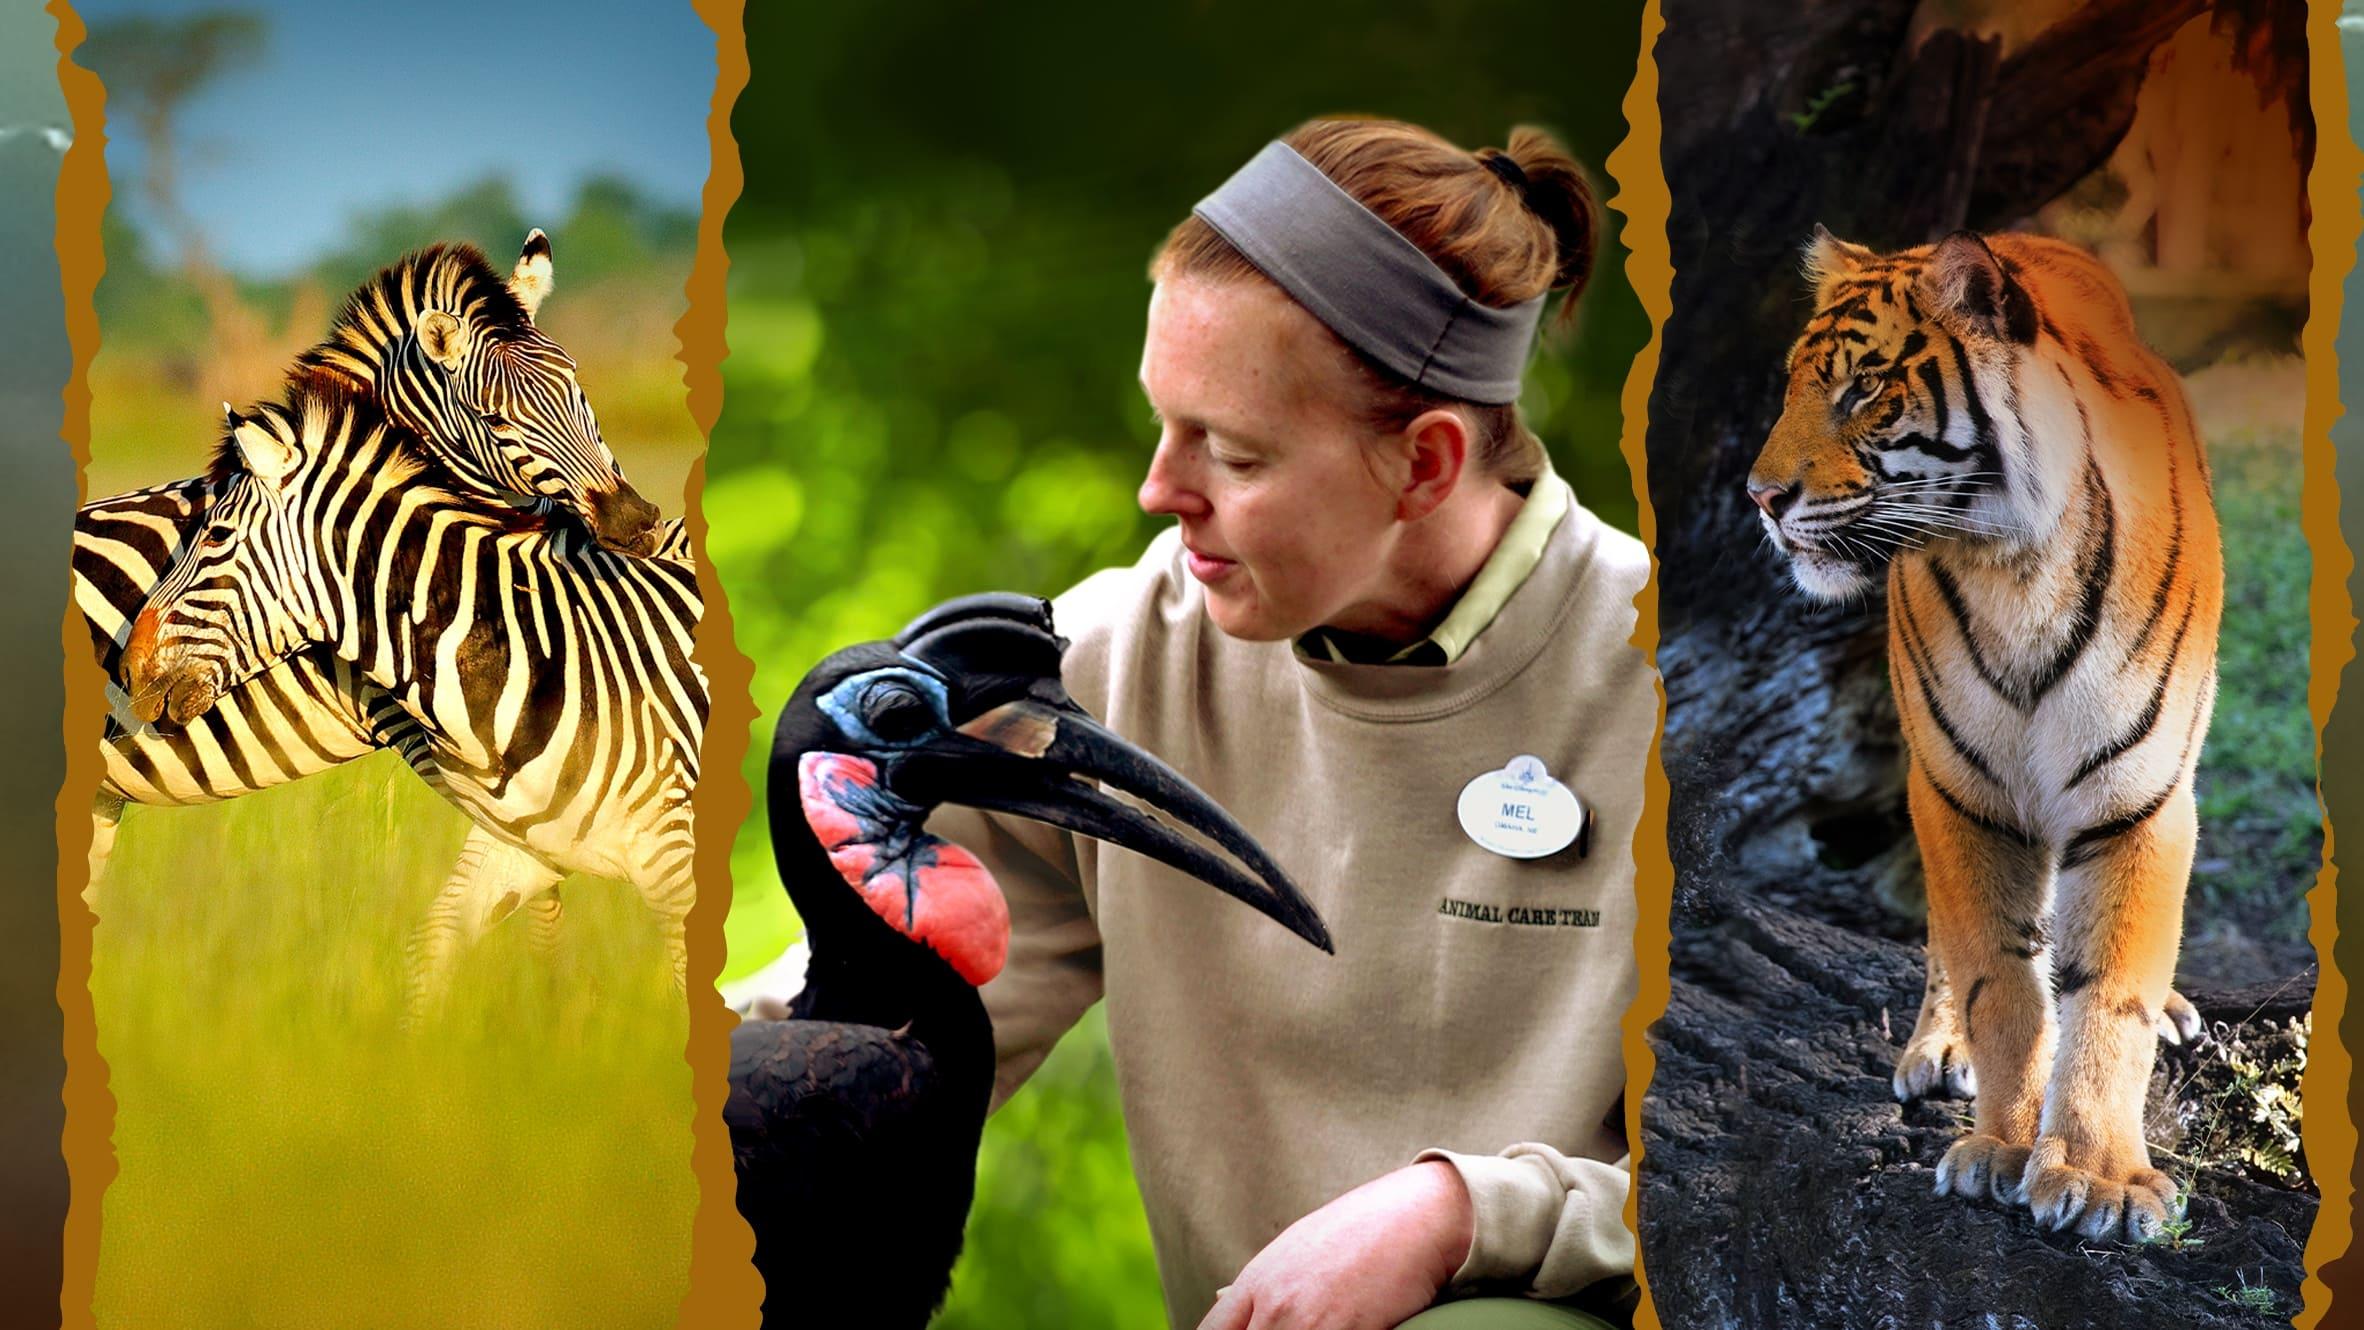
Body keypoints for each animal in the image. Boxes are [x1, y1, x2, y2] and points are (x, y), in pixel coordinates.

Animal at [1749, 229, 2222, 1247]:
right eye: (1793, 387)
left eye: (1865, 389)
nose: (1760, 497)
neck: (2015, 565)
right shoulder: (1963, 793)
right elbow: (1999, 983)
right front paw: (2004, 1145)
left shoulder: (2137, 798)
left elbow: (2109, 994)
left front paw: (2100, 1178)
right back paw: (1941, 1048)